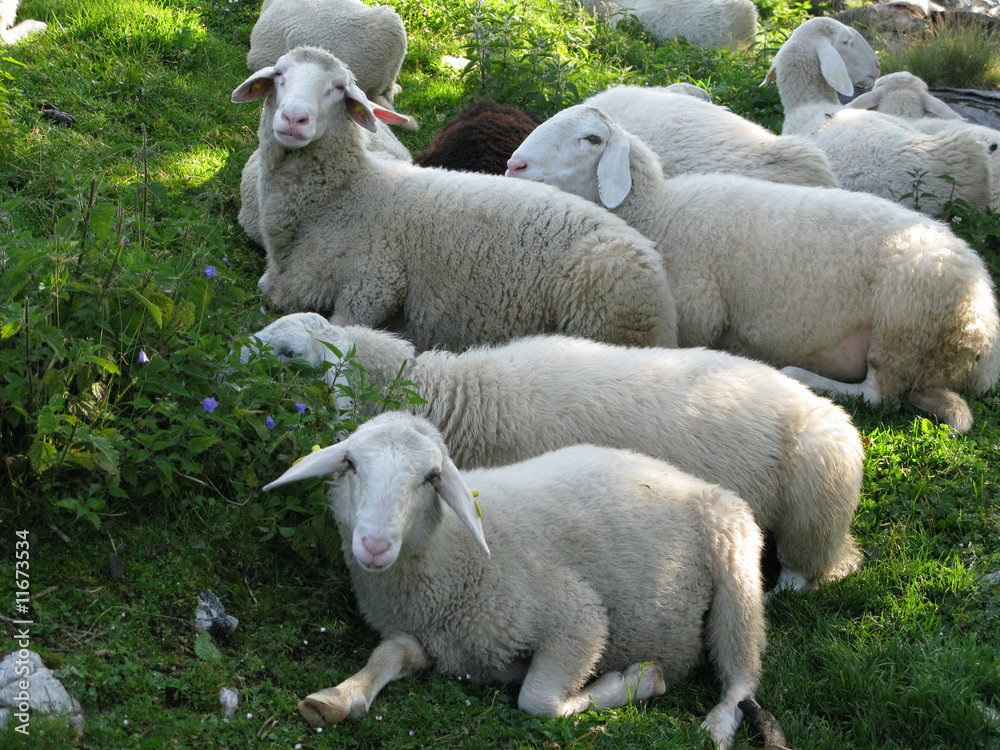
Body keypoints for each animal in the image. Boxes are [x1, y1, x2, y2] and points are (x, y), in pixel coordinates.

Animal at [245, 312, 865, 590]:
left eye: (286, 353)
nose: (228, 363)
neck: (460, 397)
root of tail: (823, 408)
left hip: (816, 503)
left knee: (808, 568)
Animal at [263, 410, 767, 749]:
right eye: (349, 464)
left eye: (430, 477)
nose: (373, 545)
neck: (453, 555)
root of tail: (688, 480)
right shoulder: (431, 636)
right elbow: (388, 654)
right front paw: (339, 695)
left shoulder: (578, 619)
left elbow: (538, 701)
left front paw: (637, 680)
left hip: (738, 569)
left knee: (743, 678)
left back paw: (717, 725)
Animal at [505, 104, 1000, 433]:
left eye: (592, 139)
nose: (514, 165)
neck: (658, 209)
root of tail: (982, 333)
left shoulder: (697, 311)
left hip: (905, 319)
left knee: (878, 394)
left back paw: (803, 376)